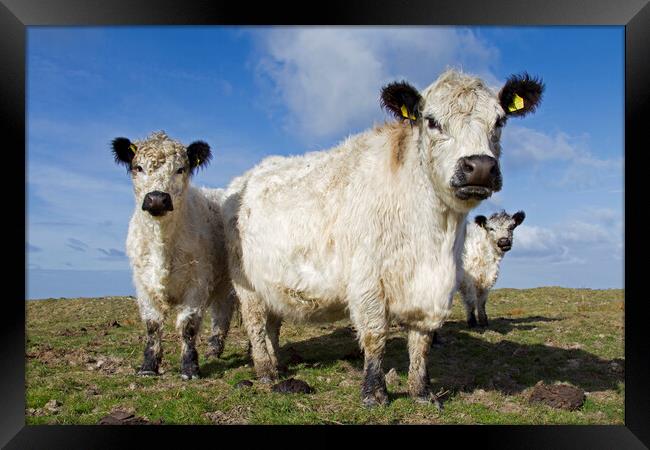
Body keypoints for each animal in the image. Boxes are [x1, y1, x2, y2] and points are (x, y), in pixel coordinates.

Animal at [112, 131, 237, 380]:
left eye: (180, 169)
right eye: (138, 167)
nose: (157, 198)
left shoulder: (197, 283)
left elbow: (188, 325)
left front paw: (190, 368)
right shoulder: (143, 284)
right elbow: (152, 325)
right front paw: (148, 366)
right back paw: (213, 351)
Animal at [223, 70, 540, 408]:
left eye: (500, 121)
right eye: (431, 121)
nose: (479, 166)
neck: (432, 237)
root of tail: (243, 179)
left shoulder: (432, 287)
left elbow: (421, 341)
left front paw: (421, 391)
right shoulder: (367, 282)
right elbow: (375, 335)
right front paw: (374, 392)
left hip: (270, 284)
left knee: (271, 325)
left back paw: (279, 365)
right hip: (247, 286)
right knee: (256, 327)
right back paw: (266, 373)